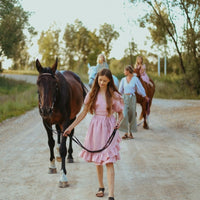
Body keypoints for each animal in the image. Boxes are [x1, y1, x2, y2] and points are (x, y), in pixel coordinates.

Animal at [35, 58, 86, 188]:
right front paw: (52, 166)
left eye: (55, 84)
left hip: (73, 117)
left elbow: (63, 146)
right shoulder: (46, 121)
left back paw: (70, 156)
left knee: (70, 134)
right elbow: (51, 143)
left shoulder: (66, 121)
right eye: (38, 83)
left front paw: (63, 177)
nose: (46, 110)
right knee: (58, 132)